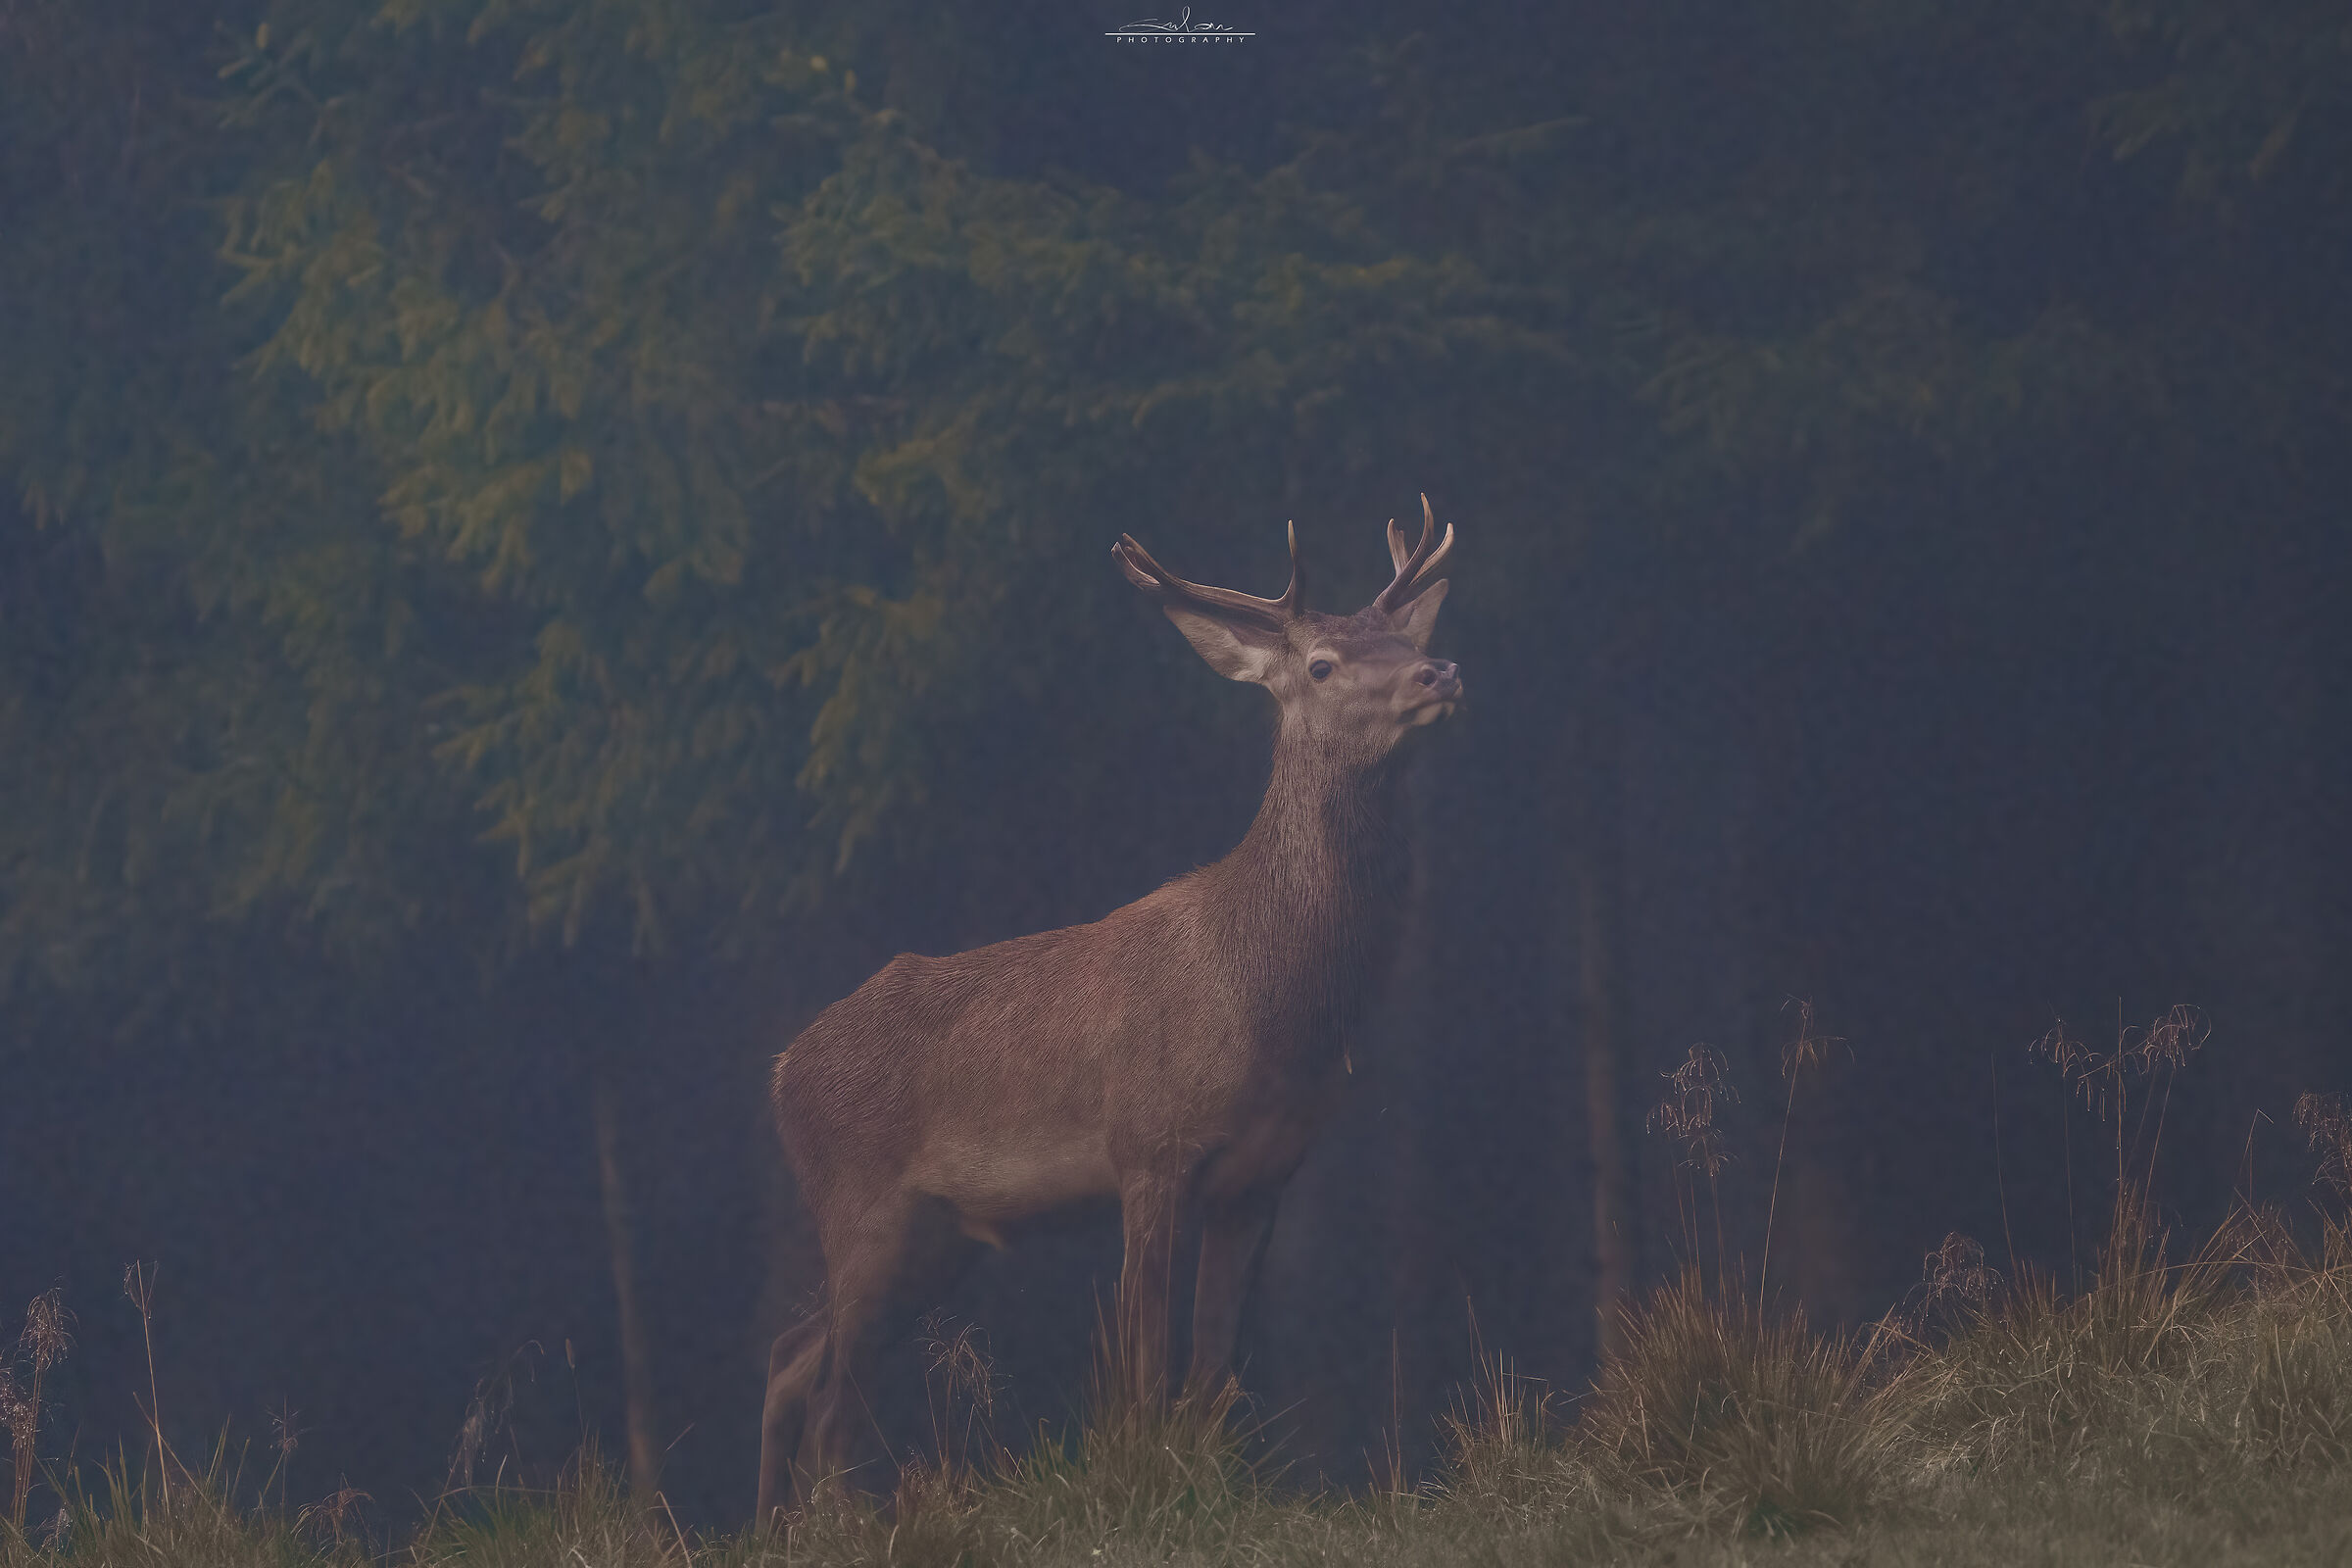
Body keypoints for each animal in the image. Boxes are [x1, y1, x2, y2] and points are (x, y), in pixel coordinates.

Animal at [755, 500, 1461, 1525]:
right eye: (1324, 664)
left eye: (1405, 638)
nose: (1439, 671)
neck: (1270, 1005)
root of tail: (779, 1073)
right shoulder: (1147, 1147)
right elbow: (1143, 1368)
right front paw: (1141, 1483)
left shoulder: (1262, 1176)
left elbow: (1213, 1371)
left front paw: (1207, 1481)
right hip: (860, 1208)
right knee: (831, 1403)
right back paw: (833, 1524)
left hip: (931, 1239)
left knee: (789, 1360)